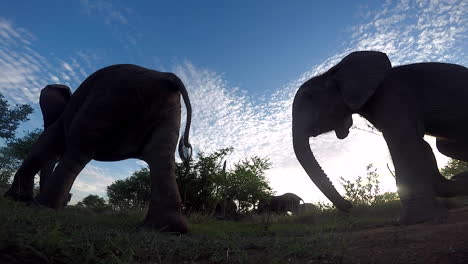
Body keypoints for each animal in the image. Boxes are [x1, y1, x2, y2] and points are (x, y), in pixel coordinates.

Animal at [5, 64, 192, 233]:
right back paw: (165, 229)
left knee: (78, 149)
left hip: (108, 102)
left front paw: (15, 200)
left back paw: (40, 208)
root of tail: (166, 76)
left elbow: (45, 144)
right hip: (166, 112)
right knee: (161, 158)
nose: (67, 202)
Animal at [292, 50, 468, 225]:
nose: (350, 205)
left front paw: (414, 220)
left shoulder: (393, 98)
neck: (336, 71)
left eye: (310, 96)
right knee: (445, 147)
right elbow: (419, 144)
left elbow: (402, 140)